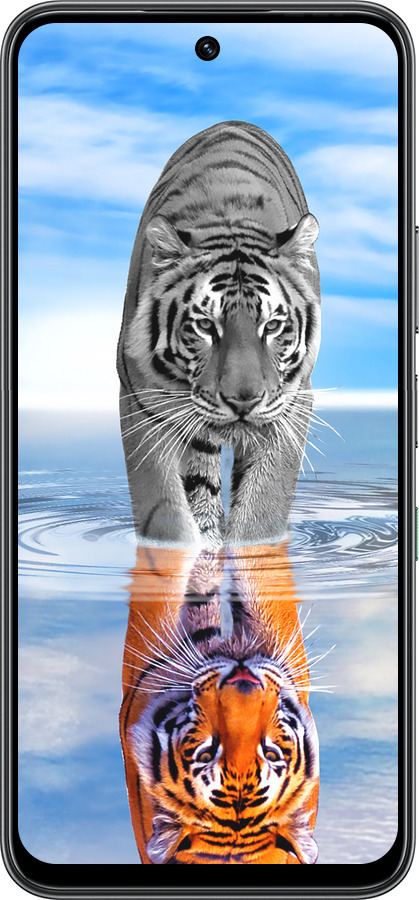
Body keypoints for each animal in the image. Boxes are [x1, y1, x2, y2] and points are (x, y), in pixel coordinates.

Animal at [117, 120, 321, 549]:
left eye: (272, 326)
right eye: (205, 326)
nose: (243, 400)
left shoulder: (292, 404)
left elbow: (262, 509)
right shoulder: (141, 401)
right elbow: (165, 512)